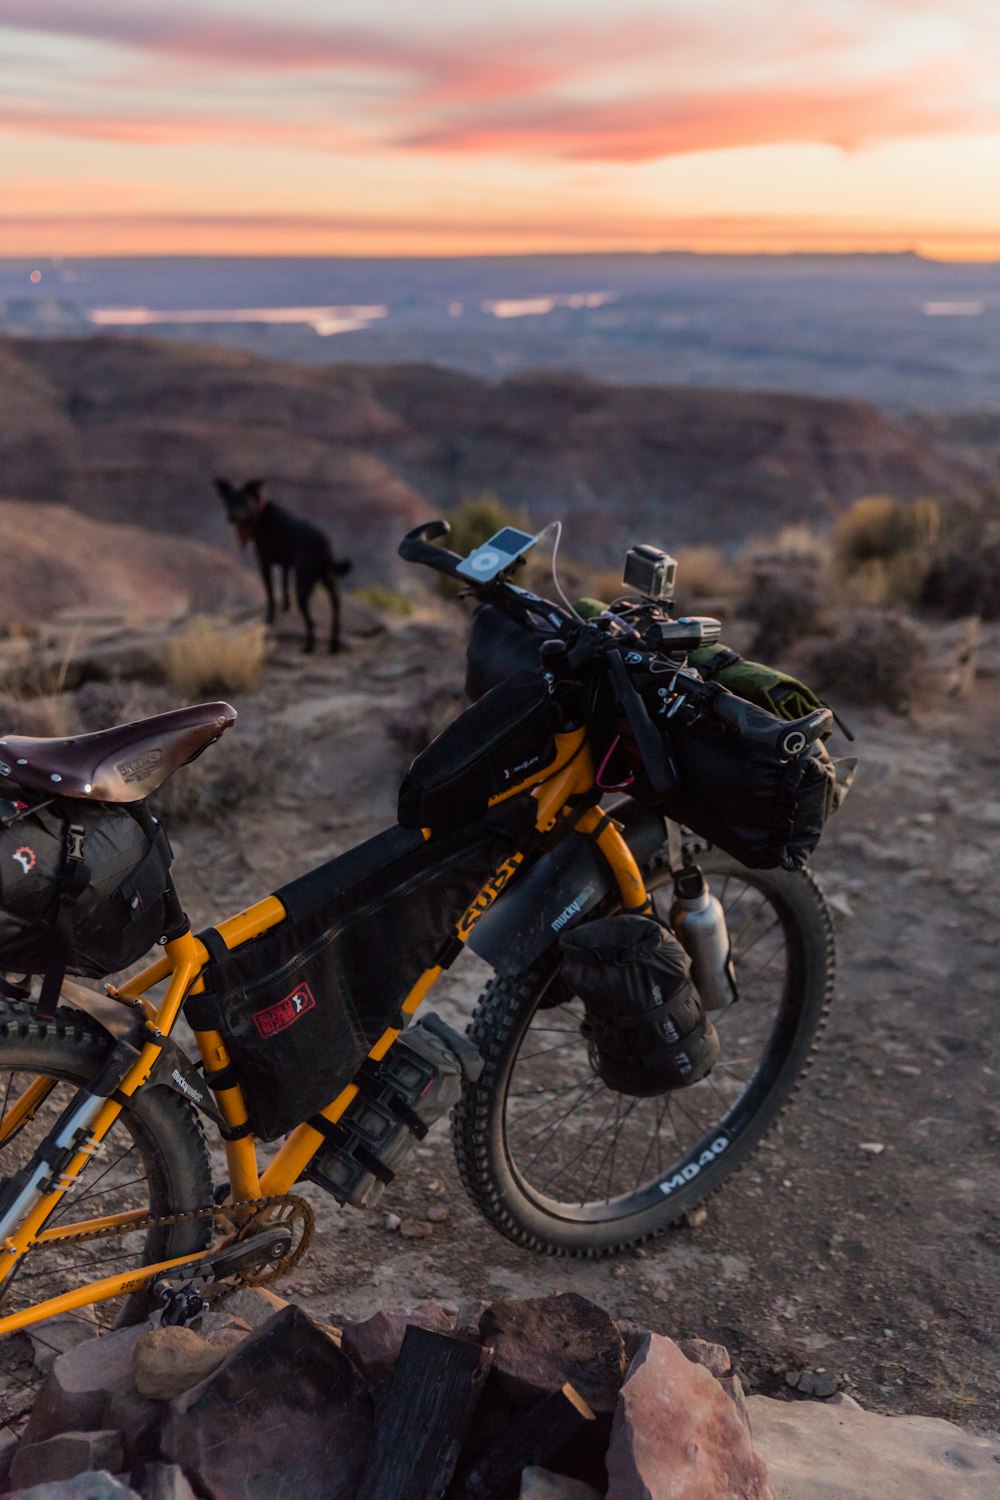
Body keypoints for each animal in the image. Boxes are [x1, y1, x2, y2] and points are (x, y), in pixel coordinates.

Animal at [215, 474, 352, 651]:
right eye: (228, 501)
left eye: (244, 500)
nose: (231, 517)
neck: (259, 515)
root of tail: (325, 544)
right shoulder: (285, 565)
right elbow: (285, 587)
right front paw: (286, 607)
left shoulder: (265, 563)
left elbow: (270, 595)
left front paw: (270, 618)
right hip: (329, 581)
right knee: (336, 613)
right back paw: (333, 646)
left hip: (302, 584)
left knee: (311, 621)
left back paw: (308, 647)